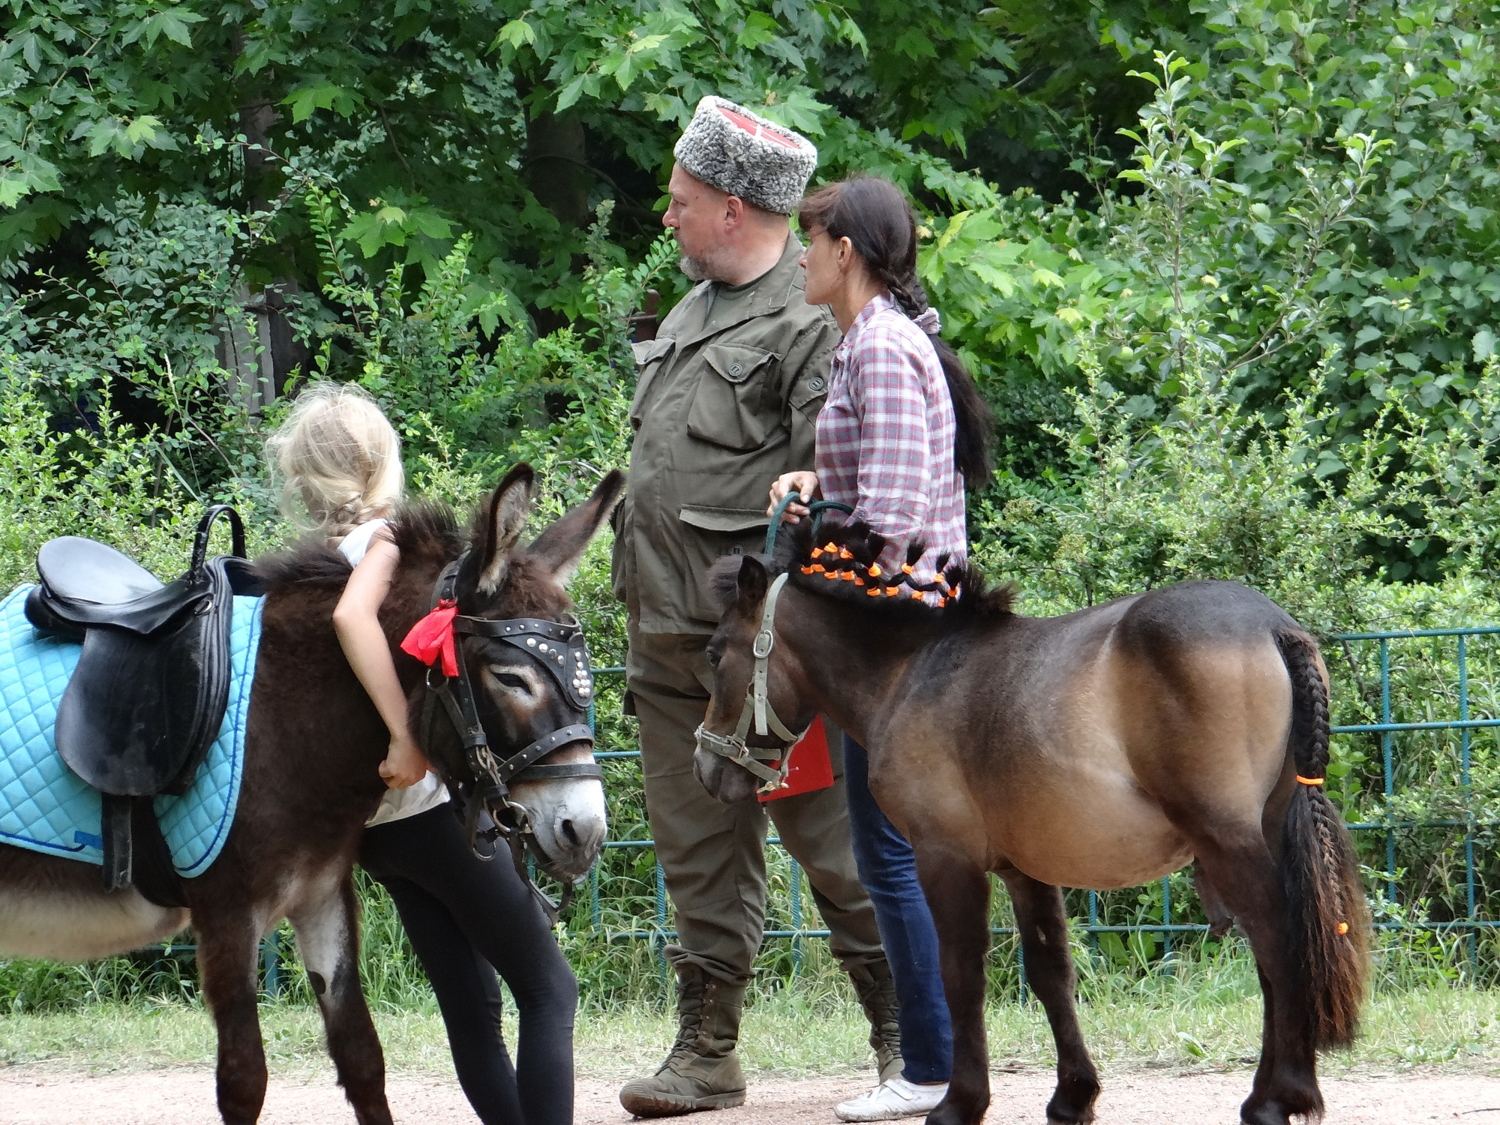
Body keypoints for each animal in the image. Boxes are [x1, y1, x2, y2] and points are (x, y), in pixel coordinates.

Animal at [0, 468, 621, 1125]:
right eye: (510, 678)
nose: (586, 833)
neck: (280, 716)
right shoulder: (225, 913)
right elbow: (244, 1080)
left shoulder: (320, 895)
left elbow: (363, 1057)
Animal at [696, 528, 1368, 1125]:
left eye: (714, 651)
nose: (706, 768)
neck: (913, 672)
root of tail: (1273, 625)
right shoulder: (1026, 869)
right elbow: (1051, 976)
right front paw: (1074, 1095)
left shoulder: (946, 859)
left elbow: (960, 975)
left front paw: (960, 1103)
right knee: (1275, 958)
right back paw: (1271, 1094)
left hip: (1228, 842)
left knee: (1281, 946)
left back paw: (1283, 1097)